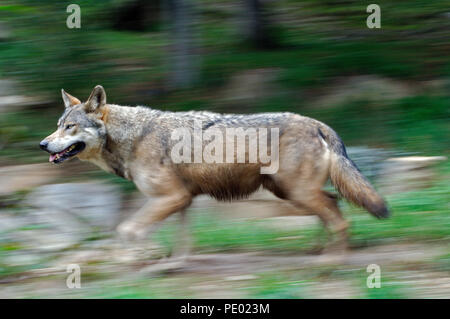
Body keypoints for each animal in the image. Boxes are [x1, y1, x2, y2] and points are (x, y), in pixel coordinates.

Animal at [40, 85, 388, 258]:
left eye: (70, 127)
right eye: (58, 125)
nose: (43, 144)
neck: (134, 137)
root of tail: (318, 123)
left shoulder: (170, 197)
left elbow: (127, 231)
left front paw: (140, 266)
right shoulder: (181, 199)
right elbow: (180, 241)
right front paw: (170, 266)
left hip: (295, 192)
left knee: (336, 215)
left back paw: (331, 262)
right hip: (290, 191)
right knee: (332, 206)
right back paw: (319, 250)